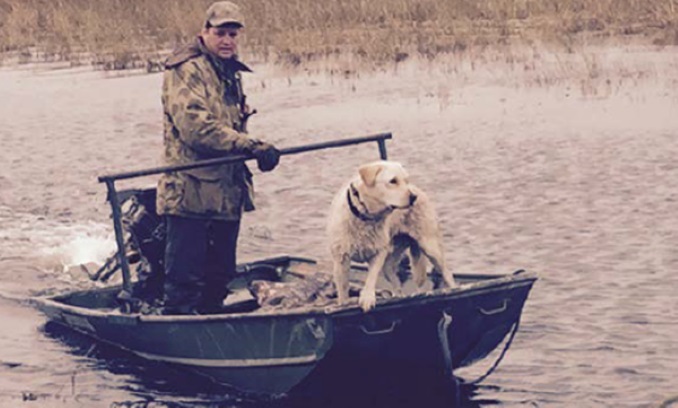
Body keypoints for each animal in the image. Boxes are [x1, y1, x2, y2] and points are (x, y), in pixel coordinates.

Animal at [328, 161, 456, 310]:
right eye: (393, 181)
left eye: (406, 180)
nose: (413, 197)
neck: (366, 217)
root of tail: (419, 190)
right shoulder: (340, 258)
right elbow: (342, 287)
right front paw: (343, 304)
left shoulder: (379, 252)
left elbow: (371, 277)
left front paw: (367, 298)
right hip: (393, 256)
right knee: (394, 279)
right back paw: (398, 296)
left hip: (430, 246)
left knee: (447, 273)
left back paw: (454, 289)